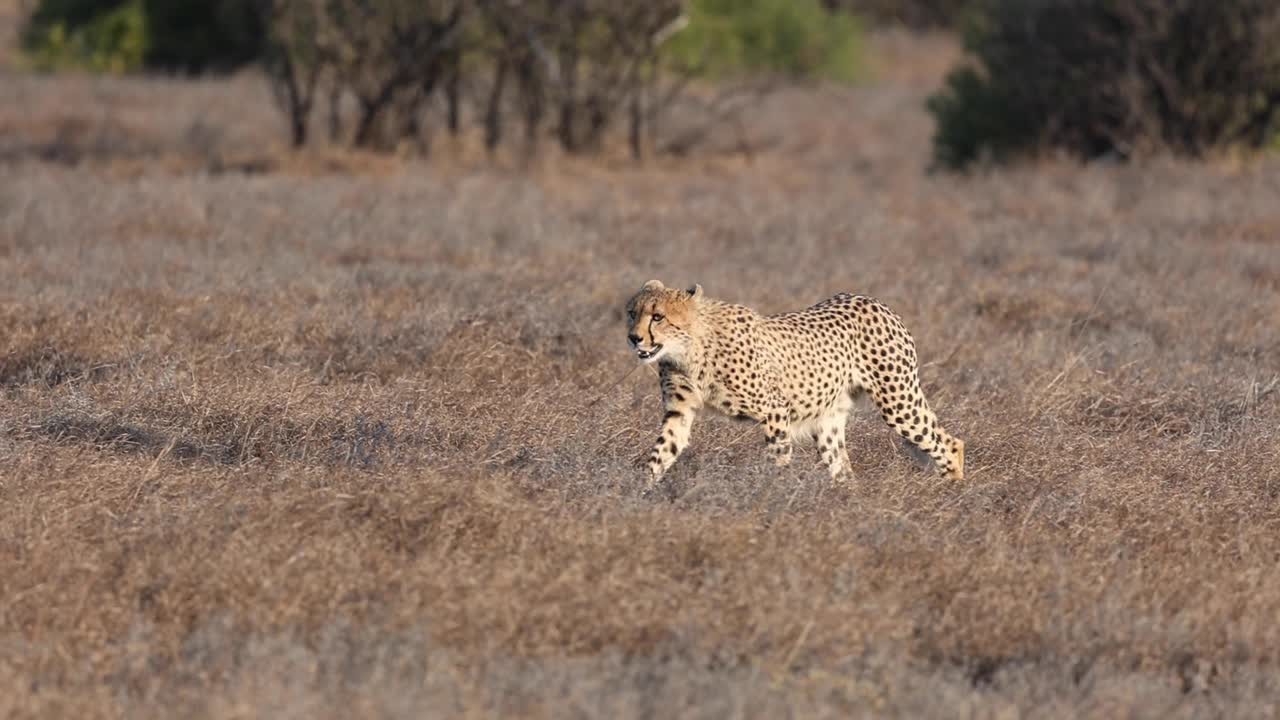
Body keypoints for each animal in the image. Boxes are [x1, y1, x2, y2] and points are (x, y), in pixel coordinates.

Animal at [625, 280, 965, 486]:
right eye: (631, 313)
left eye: (658, 316)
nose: (634, 338)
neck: (690, 348)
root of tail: (873, 301)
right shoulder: (679, 412)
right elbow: (662, 452)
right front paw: (639, 493)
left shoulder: (775, 409)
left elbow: (777, 460)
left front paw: (774, 496)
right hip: (829, 420)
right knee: (842, 468)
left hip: (897, 402)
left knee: (949, 443)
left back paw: (950, 492)